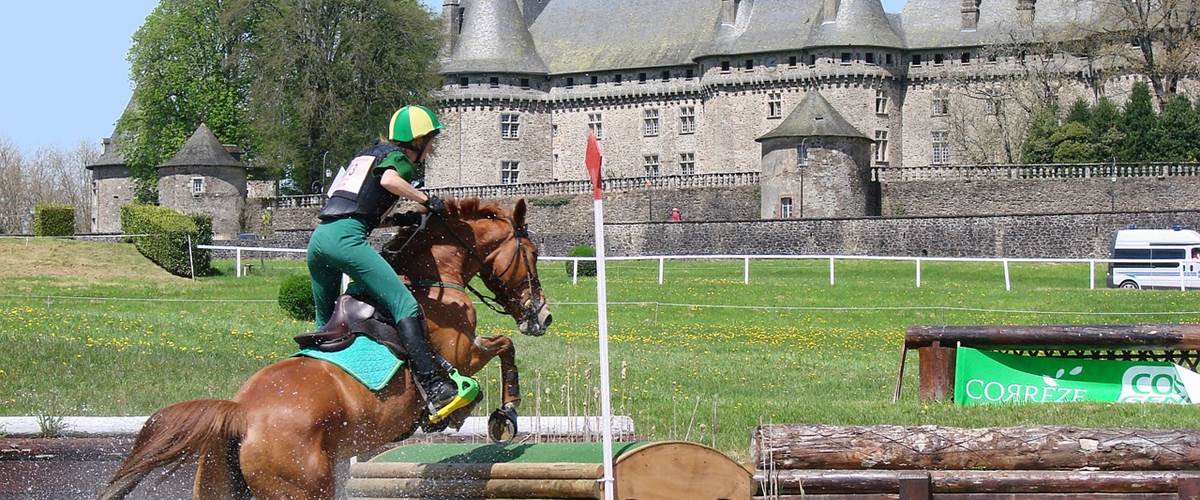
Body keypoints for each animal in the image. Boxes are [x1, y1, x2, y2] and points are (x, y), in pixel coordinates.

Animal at [99, 199, 552, 498]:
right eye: (531, 255)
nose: (543, 316)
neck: (434, 279)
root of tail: (240, 412)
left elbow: (504, 345)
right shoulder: (462, 354)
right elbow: (504, 346)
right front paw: (504, 415)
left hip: (221, 481)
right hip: (304, 485)